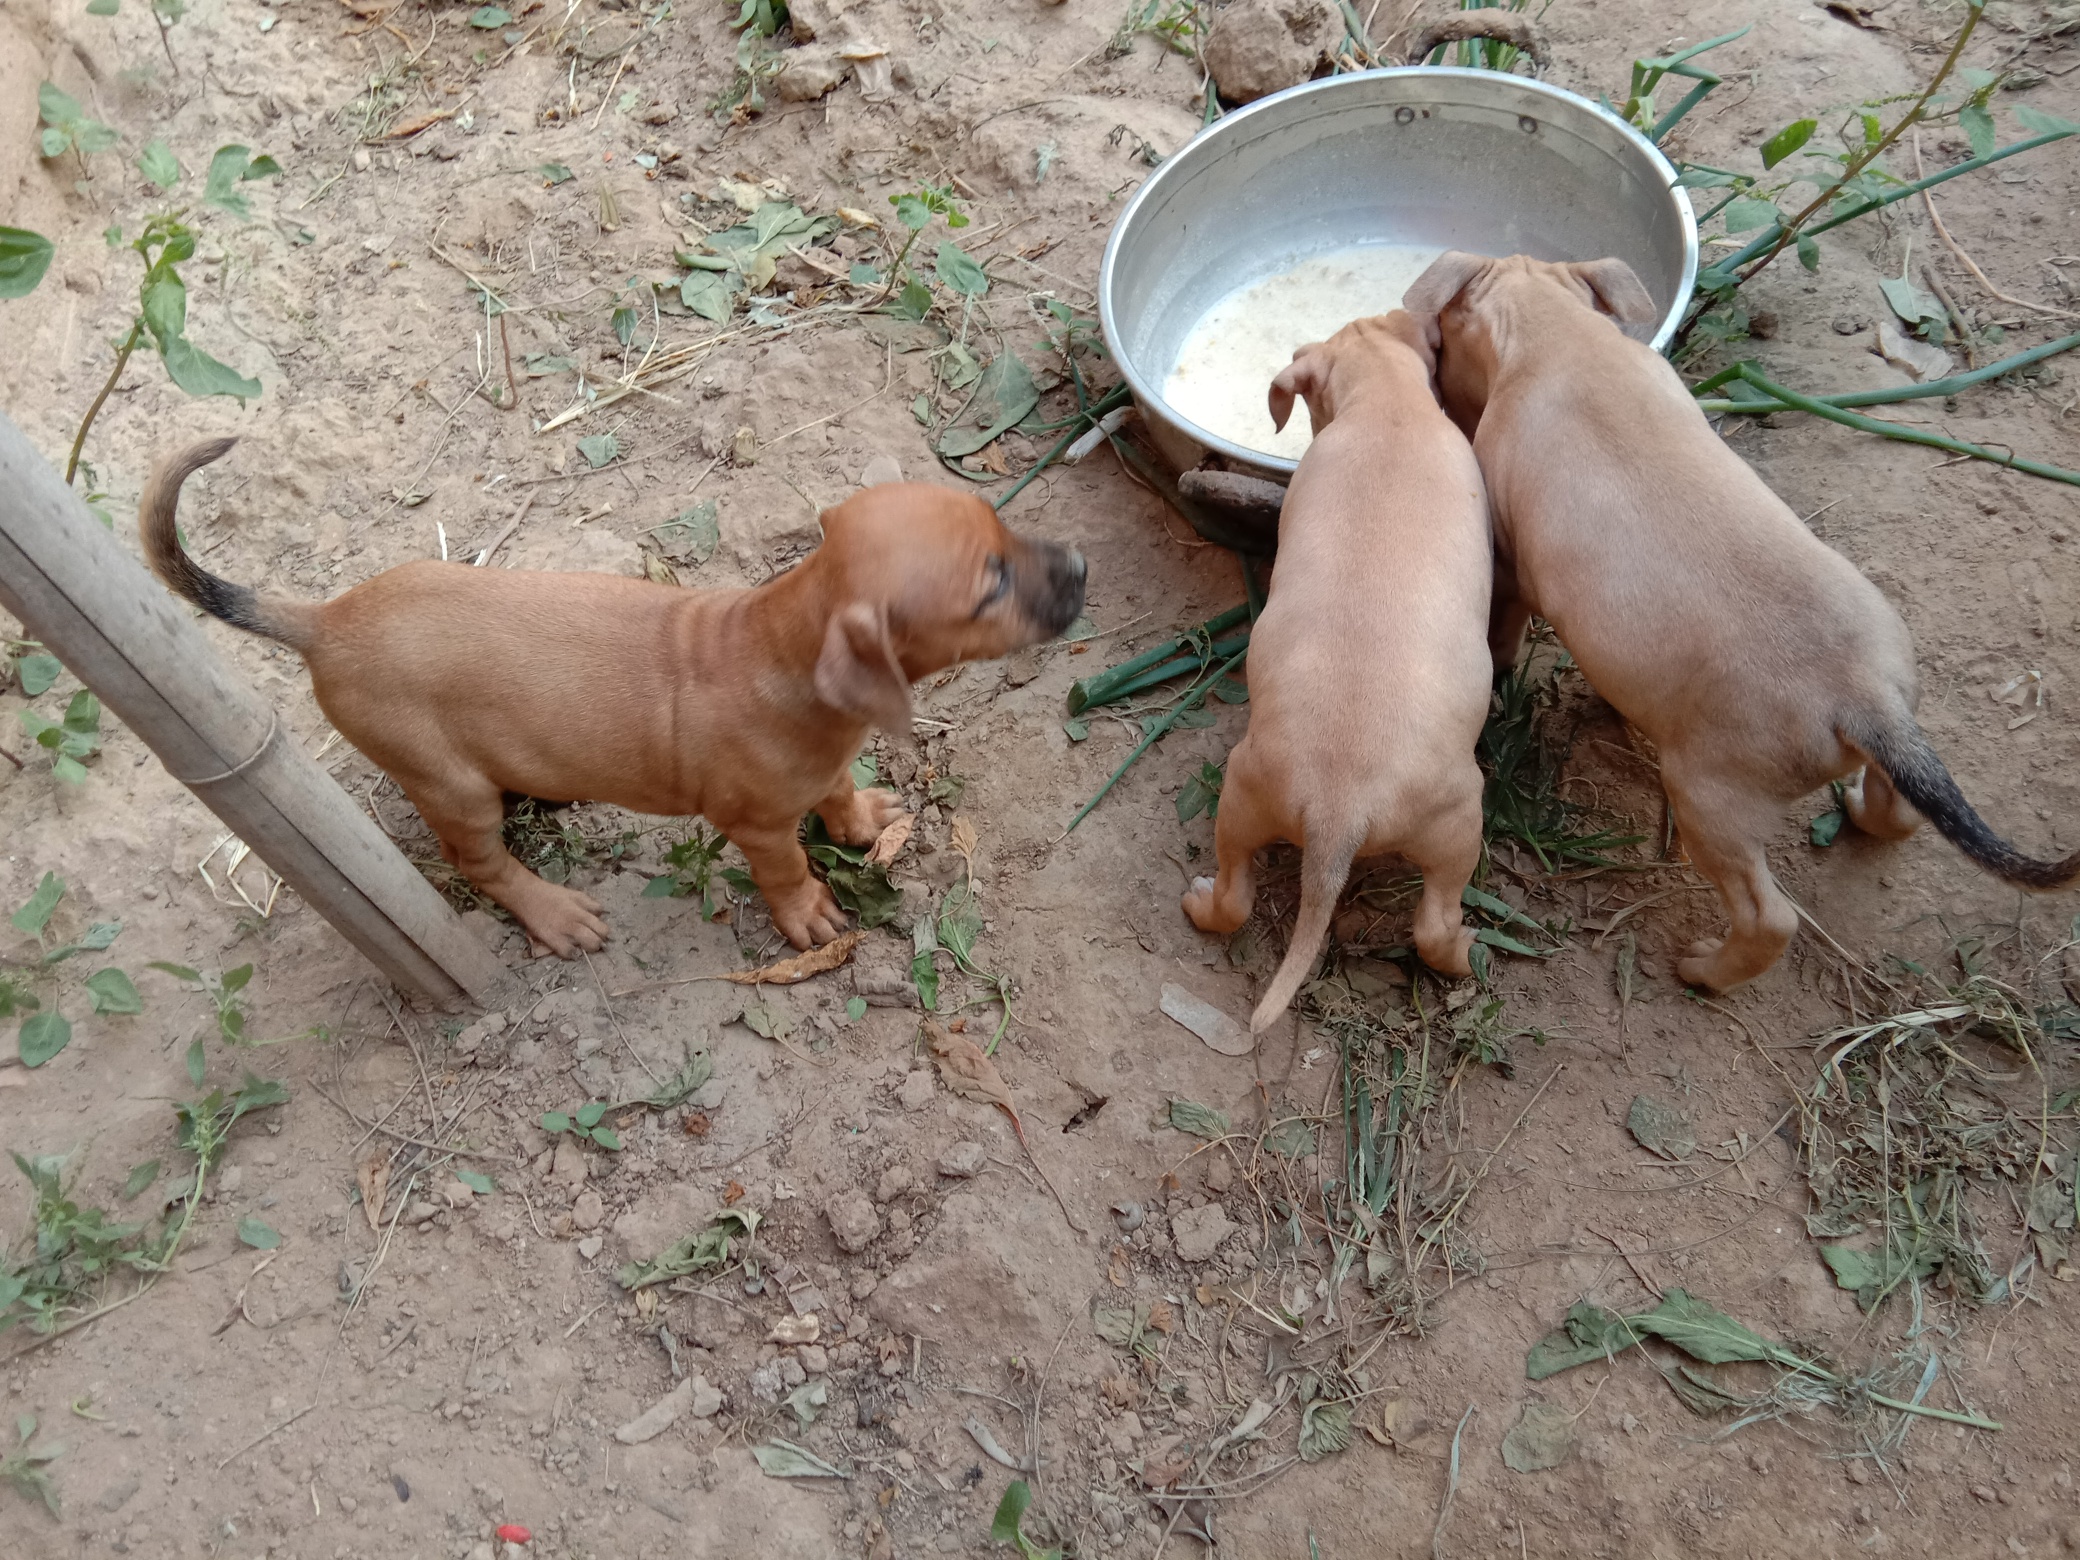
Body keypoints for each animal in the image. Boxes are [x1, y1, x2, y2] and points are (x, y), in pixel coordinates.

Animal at [142, 434, 1089, 960]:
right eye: (992, 587)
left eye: (1004, 529)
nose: (1082, 565)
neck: (780, 639)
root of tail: (327, 622)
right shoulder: (756, 826)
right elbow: (786, 865)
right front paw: (809, 911)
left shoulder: (823, 761)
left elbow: (838, 791)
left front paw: (860, 822)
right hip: (449, 784)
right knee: (478, 862)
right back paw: (553, 913)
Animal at [1181, 309, 1489, 1031]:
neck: (1385, 401)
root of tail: (1337, 812)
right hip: (1460, 824)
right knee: (1433, 927)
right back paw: (1467, 947)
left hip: (1244, 794)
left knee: (1237, 899)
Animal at [1397, 250, 2080, 994]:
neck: (1558, 335)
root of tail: (1860, 699)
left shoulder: (1511, 560)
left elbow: (1502, 630)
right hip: (1884, 725)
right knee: (1897, 810)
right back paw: (1860, 812)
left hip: (1708, 801)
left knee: (1767, 918)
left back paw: (1705, 970)